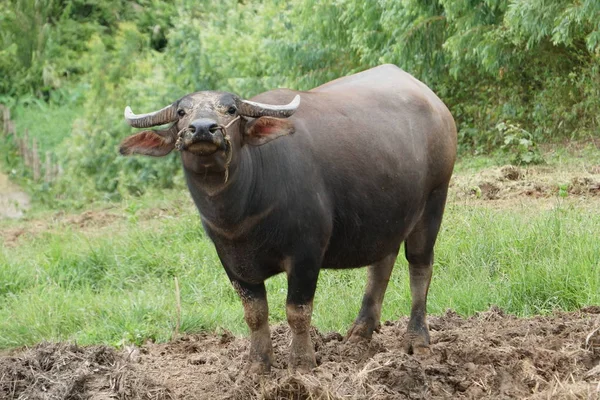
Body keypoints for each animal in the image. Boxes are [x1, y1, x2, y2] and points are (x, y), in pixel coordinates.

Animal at [119, 64, 454, 374]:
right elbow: (255, 314)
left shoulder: (306, 252)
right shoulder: (231, 260)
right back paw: (359, 336)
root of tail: (436, 104)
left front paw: (302, 364)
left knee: (420, 267)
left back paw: (417, 340)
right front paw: (258, 366)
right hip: (387, 217)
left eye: (231, 109)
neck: (241, 213)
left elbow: (297, 311)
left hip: (434, 200)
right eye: (181, 112)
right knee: (381, 265)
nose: (203, 129)